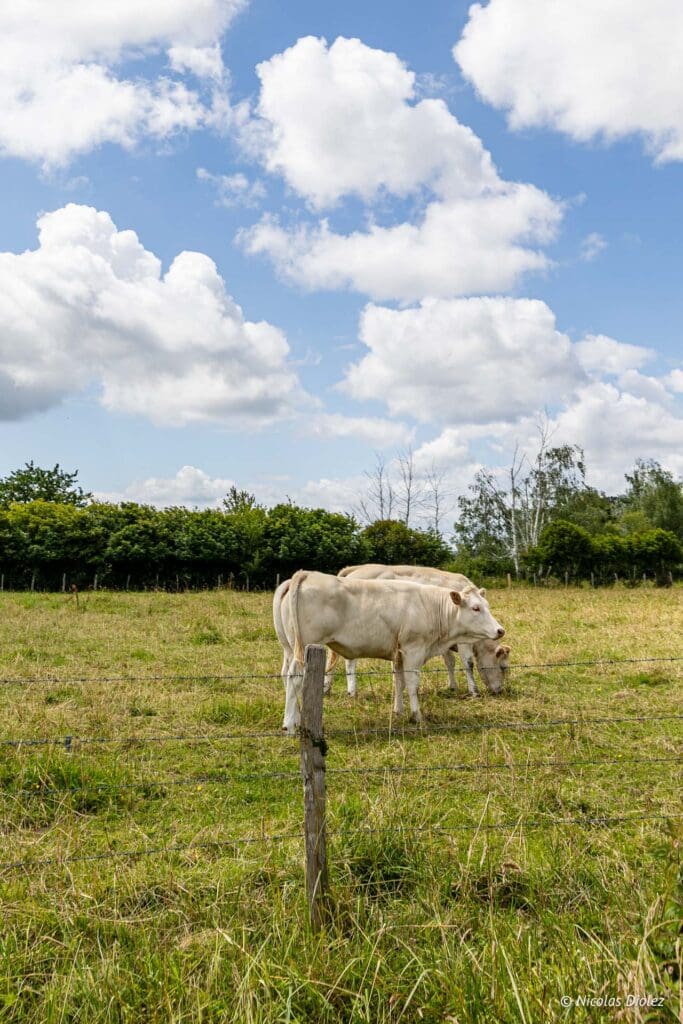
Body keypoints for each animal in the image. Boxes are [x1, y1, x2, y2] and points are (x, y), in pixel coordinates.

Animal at [327, 565, 509, 700]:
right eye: (504, 667)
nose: (499, 691)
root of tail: (355, 569)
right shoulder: (463, 640)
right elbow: (468, 663)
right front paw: (474, 691)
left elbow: (449, 662)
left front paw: (452, 686)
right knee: (350, 662)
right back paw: (351, 691)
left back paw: (327, 688)